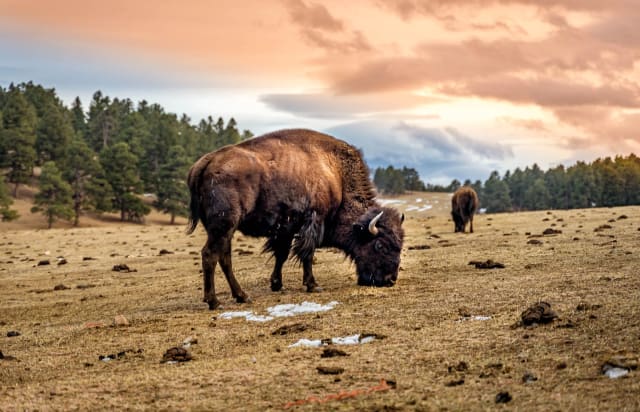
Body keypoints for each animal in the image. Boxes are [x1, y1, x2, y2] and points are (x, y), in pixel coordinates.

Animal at [187, 129, 404, 309]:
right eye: (380, 245)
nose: (390, 280)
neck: (335, 174)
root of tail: (206, 162)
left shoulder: (286, 228)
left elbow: (281, 254)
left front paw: (277, 284)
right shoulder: (313, 221)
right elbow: (307, 253)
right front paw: (313, 285)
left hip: (225, 231)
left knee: (224, 258)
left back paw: (242, 296)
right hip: (224, 226)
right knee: (210, 255)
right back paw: (214, 301)